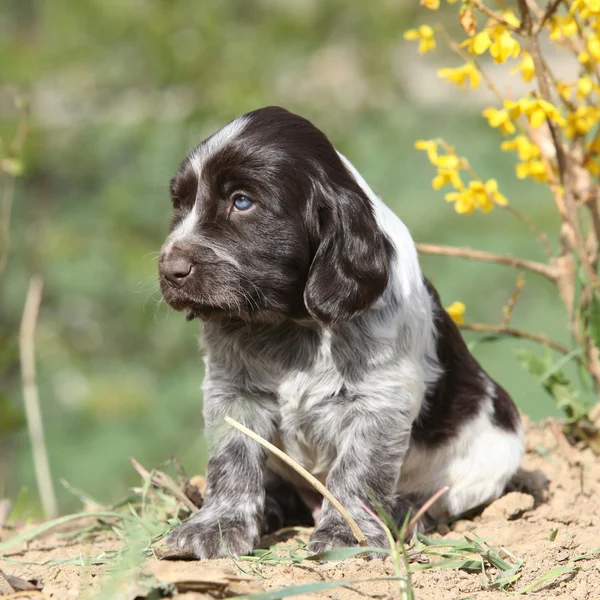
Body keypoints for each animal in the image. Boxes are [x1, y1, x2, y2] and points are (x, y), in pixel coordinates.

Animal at [157, 106, 524, 556]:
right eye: (180, 203)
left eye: (242, 202)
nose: (170, 271)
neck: (292, 322)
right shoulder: (231, 391)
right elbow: (232, 459)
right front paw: (217, 526)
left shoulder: (380, 399)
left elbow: (360, 468)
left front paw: (347, 535)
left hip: (492, 456)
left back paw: (403, 513)